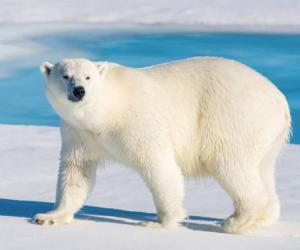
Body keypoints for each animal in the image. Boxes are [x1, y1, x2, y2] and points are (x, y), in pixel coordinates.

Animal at [33, 56, 290, 232]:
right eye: (65, 76)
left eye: (88, 77)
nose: (79, 91)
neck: (106, 111)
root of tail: (280, 100)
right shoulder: (79, 134)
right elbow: (76, 173)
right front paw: (48, 216)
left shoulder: (136, 122)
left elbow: (159, 167)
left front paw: (160, 222)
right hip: (266, 135)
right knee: (262, 169)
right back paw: (264, 217)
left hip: (233, 117)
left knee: (231, 164)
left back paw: (234, 221)